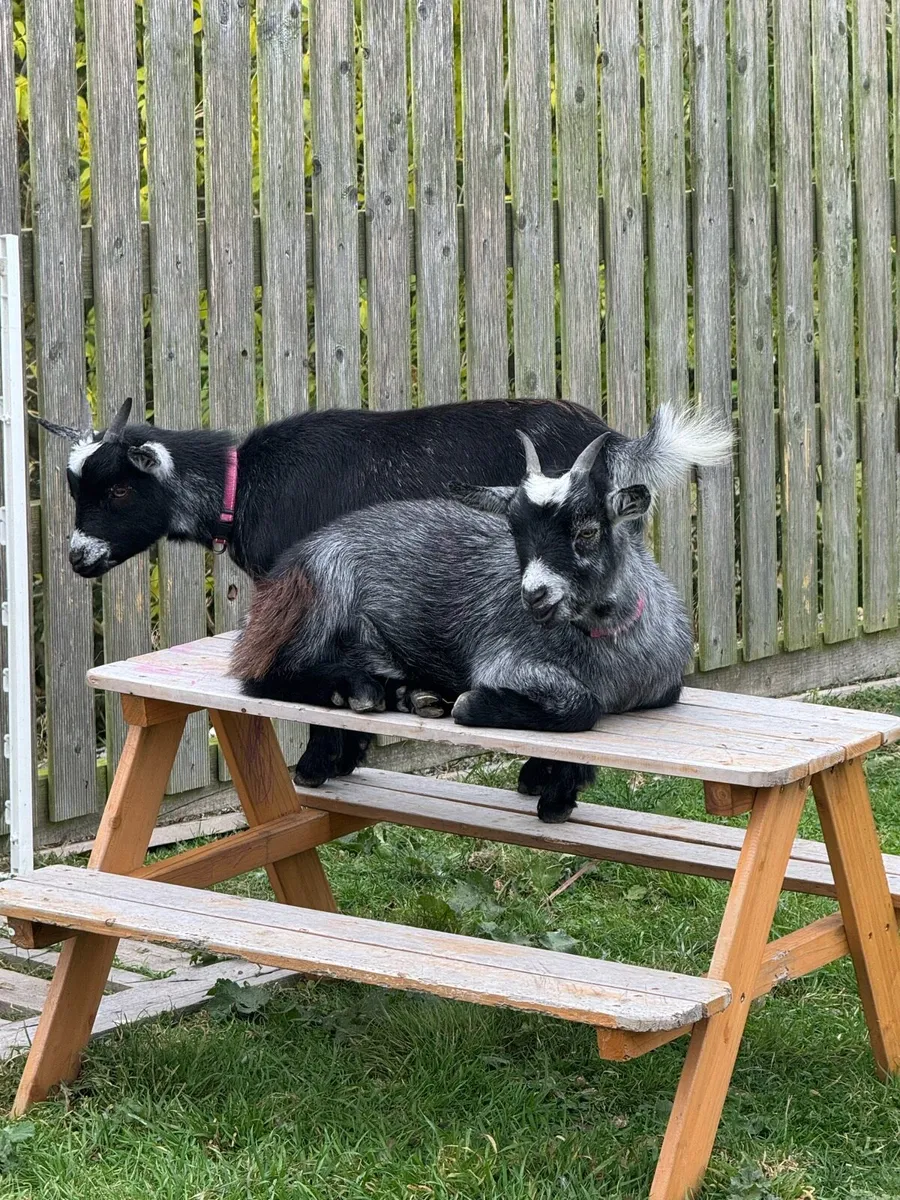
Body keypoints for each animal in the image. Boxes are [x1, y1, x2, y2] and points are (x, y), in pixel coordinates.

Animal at [234, 404, 733, 821]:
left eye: (588, 530)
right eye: (514, 529)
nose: (534, 595)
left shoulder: (666, 686)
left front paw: (547, 784)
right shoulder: (505, 661)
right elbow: (580, 706)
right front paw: (538, 776)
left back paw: (410, 694)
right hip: (322, 597)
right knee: (263, 675)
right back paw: (352, 702)